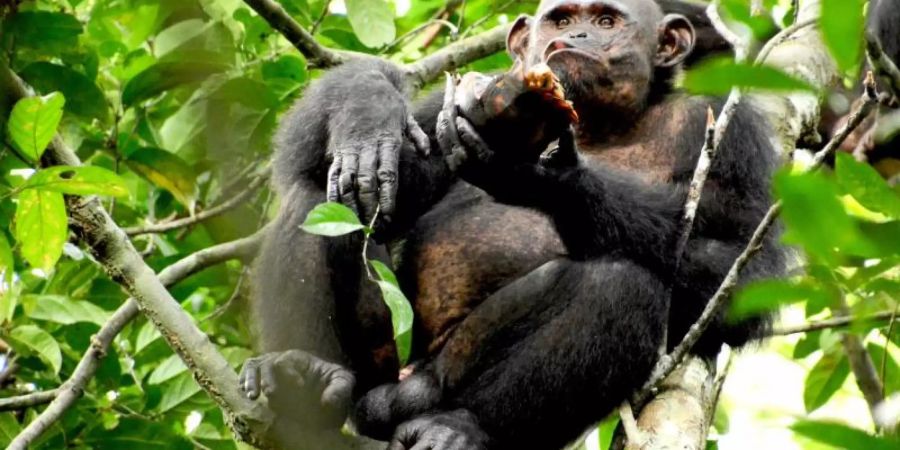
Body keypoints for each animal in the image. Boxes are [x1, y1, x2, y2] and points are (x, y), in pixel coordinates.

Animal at [241, 0, 788, 450]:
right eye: (561, 20)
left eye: (606, 20)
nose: (577, 37)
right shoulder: (446, 111)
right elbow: (317, 161)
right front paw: (367, 114)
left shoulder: (731, 130)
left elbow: (745, 264)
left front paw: (543, 178)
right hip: (381, 366)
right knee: (317, 200)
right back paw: (303, 377)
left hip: (435, 382)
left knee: (622, 284)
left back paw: (460, 427)